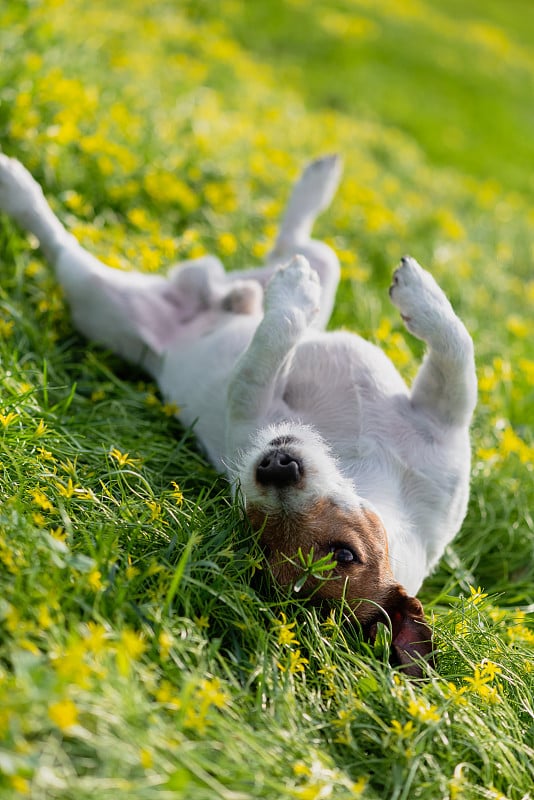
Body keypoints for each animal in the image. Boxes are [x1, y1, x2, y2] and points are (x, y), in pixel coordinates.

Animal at [0, 153, 478, 672]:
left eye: (344, 556)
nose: (277, 467)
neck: (362, 467)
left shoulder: (250, 401)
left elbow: (276, 337)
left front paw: (297, 300)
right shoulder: (442, 422)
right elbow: (456, 346)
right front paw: (418, 290)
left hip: (91, 293)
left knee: (54, 238)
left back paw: (13, 181)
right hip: (310, 271)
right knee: (300, 252)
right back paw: (302, 211)